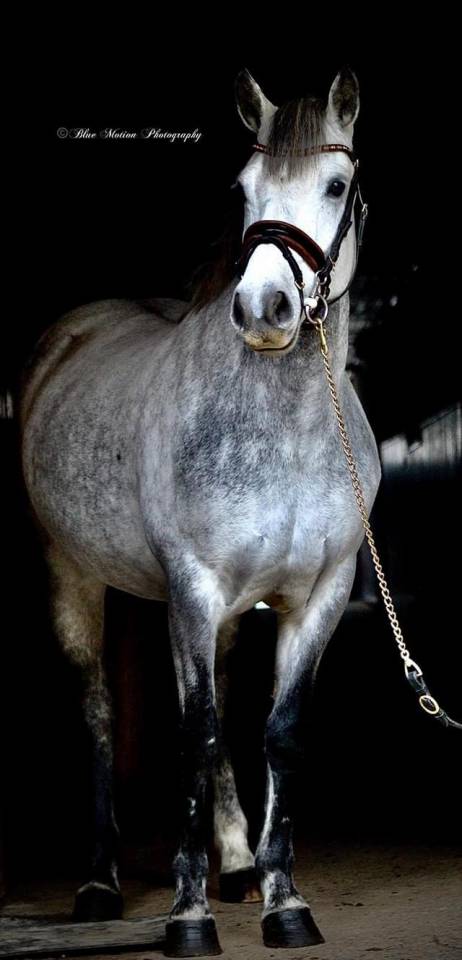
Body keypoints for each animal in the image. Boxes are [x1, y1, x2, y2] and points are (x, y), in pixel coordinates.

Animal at [20, 66, 380, 956]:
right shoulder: (192, 587)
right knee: (101, 714)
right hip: (73, 572)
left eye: (337, 185)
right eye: (241, 189)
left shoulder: (318, 595)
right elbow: (197, 733)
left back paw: (239, 863)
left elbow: (276, 732)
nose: (265, 309)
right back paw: (100, 882)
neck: (286, 429)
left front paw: (285, 900)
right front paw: (188, 915)